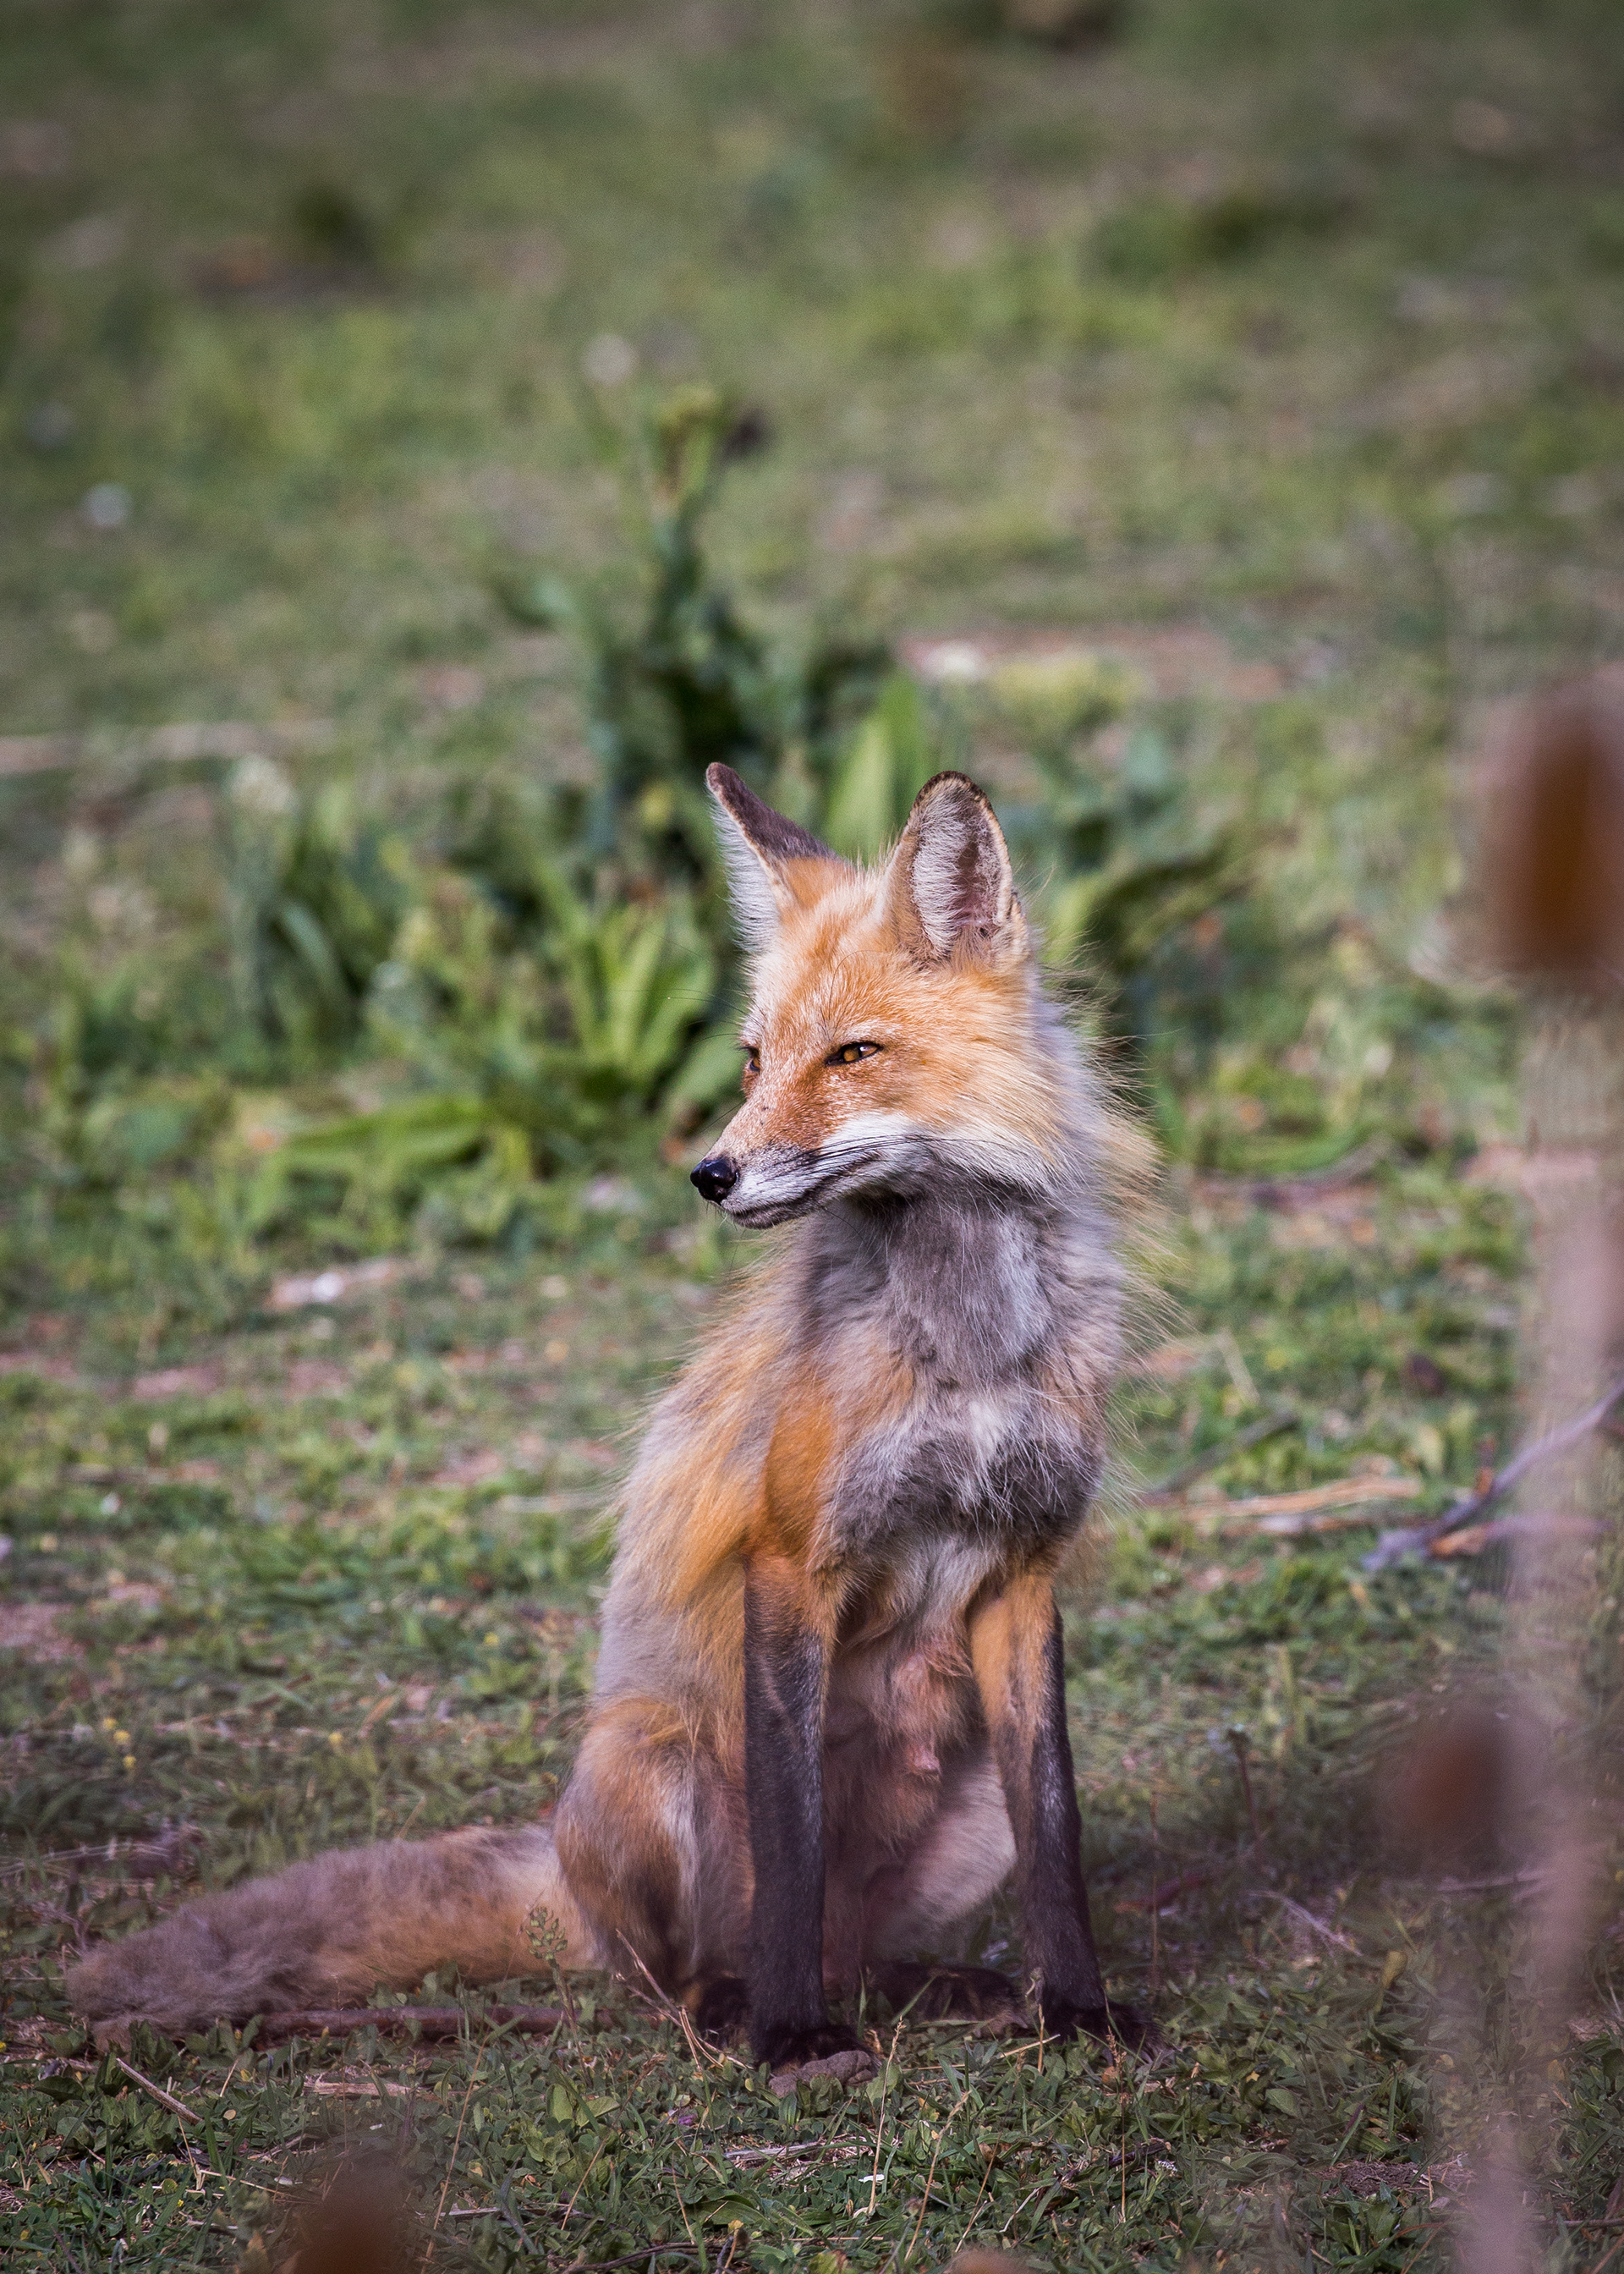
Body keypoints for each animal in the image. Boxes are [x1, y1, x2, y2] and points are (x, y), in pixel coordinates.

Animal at [67, 763, 1151, 2072]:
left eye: (853, 1053)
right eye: (752, 1059)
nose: (711, 1175)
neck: (968, 1341)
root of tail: (566, 1872)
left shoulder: (1026, 1570)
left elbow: (1060, 1836)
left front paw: (1080, 2011)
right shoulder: (791, 1559)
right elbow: (791, 1839)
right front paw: (792, 2038)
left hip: (962, 1798)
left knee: (862, 1952)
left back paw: (934, 1988)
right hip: (657, 1763)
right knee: (678, 1972)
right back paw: (739, 2005)